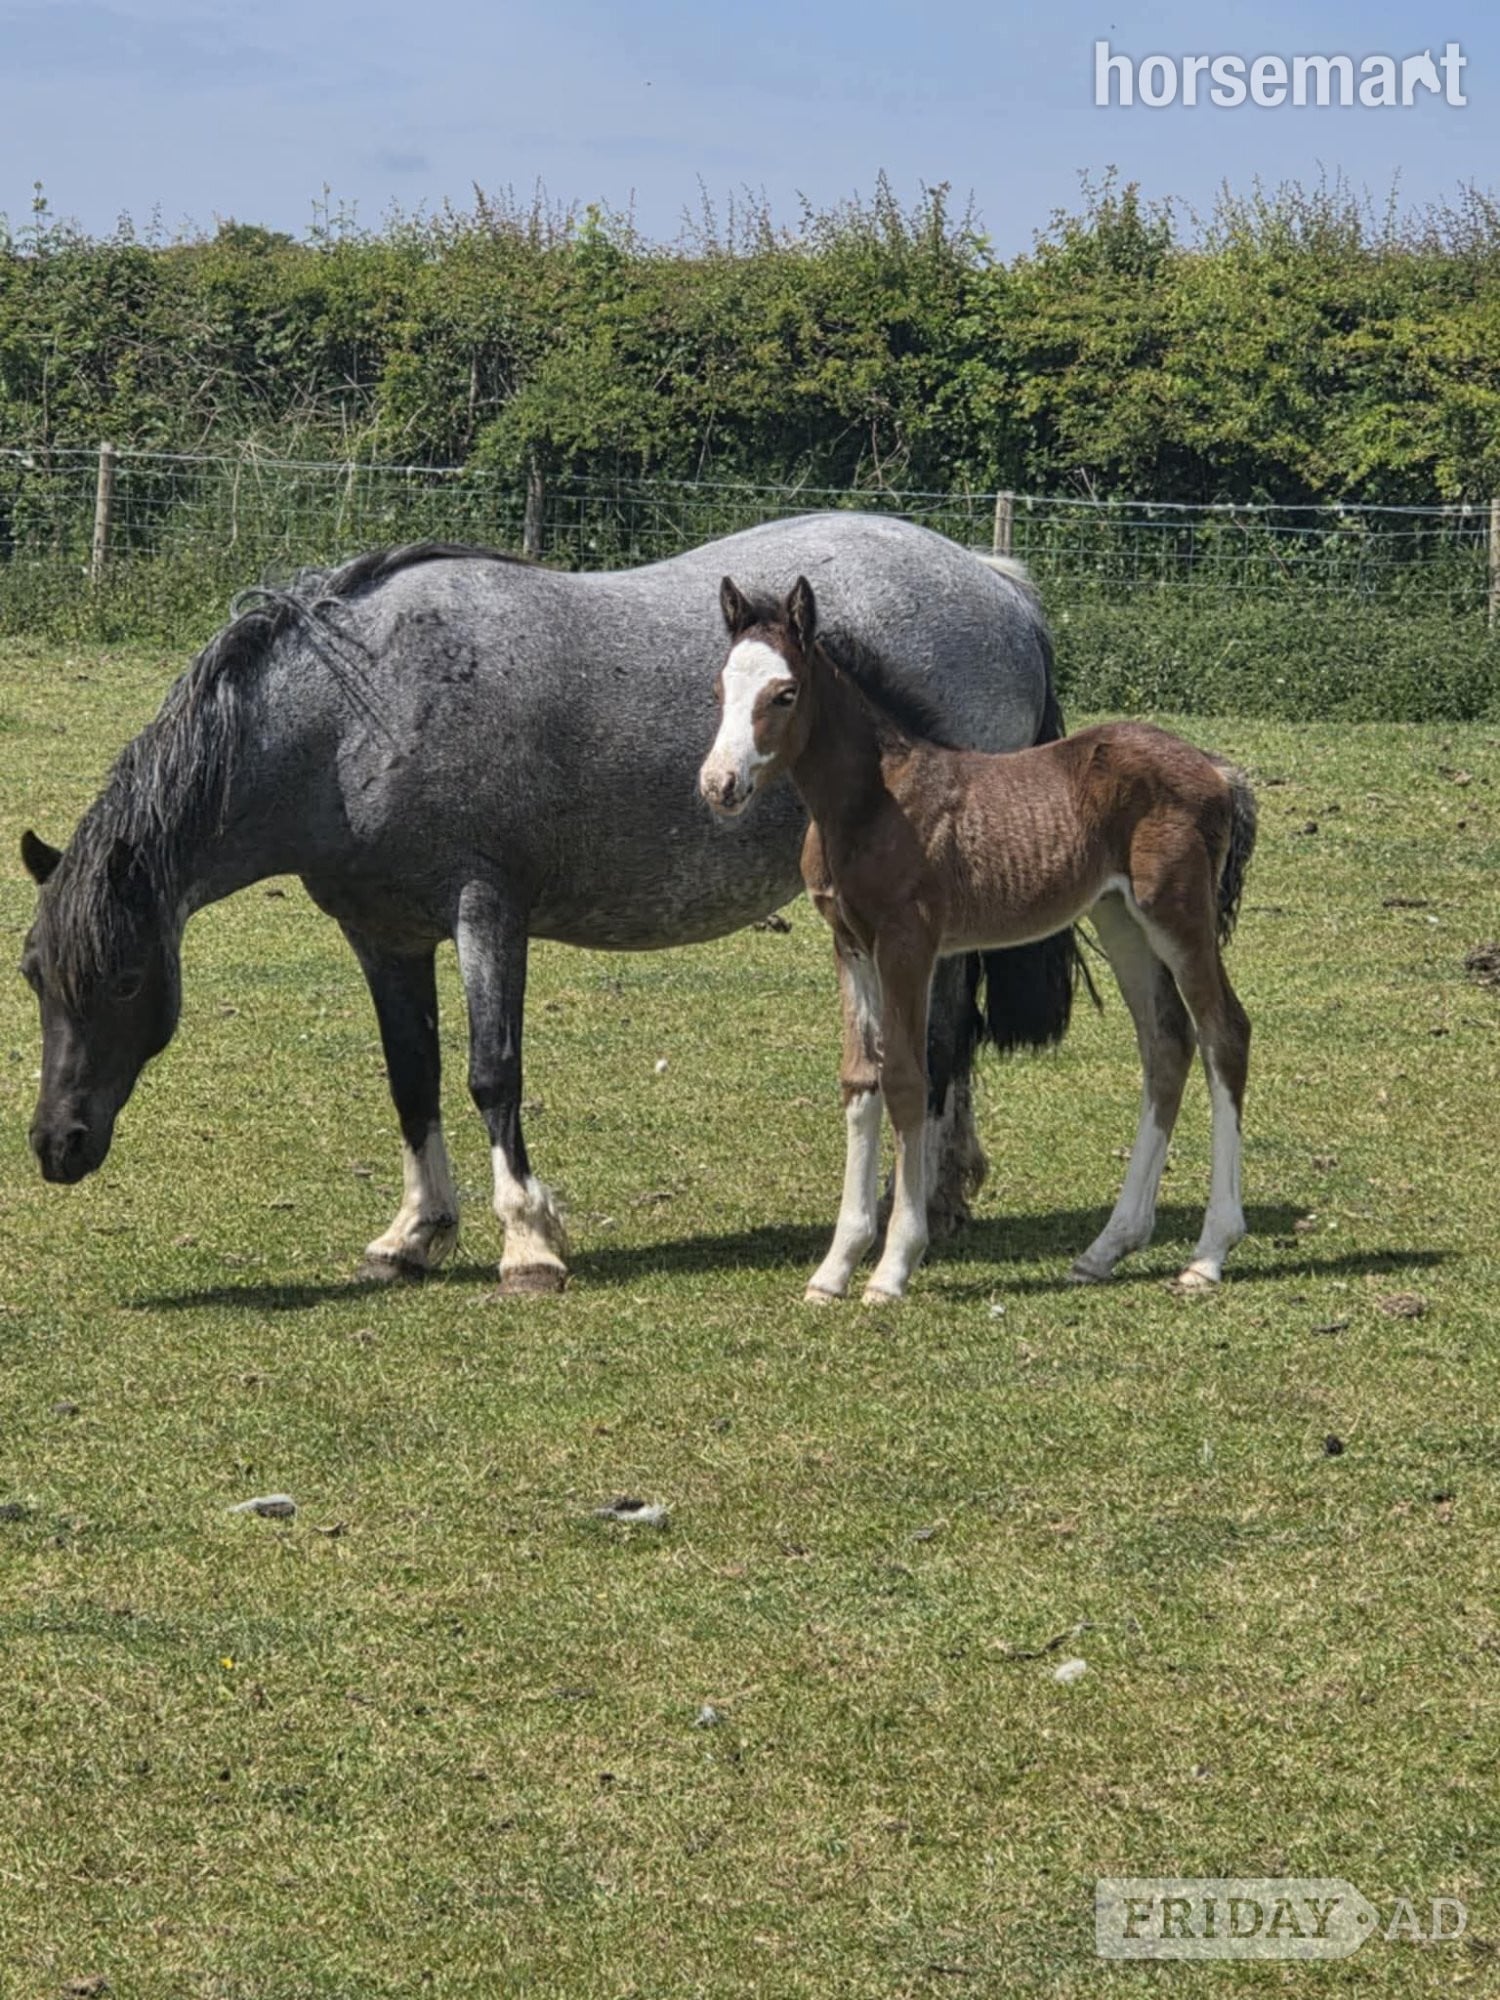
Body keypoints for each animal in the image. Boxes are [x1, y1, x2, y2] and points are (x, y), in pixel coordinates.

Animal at [18, 515, 1082, 1293]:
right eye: (33, 974)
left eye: (124, 980)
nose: (56, 1144)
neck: (356, 711)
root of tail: (997, 584)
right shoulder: (382, 936)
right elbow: (412, 1079)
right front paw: (412, 1235)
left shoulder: (487, 912)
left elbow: (492, 1073)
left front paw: (528, 1241)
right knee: (954, 1034)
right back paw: (949, 1192)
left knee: (938, 1037)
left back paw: (922, 1205)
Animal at [699, 576, 1257, 1303]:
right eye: (719, 690)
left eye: (784, 693)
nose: (719, 784)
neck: (873, 803)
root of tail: (1219, 771)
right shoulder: (850, 946)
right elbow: (860, 1079)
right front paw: (834, 1269)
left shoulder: (909, 942)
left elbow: (908, 1077)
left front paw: (893, 1265)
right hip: (1121, 918)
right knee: (1166, 1043)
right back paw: (1106, 1248)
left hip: (1178, 914)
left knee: (1224, 1034)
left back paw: (1208, 1254)